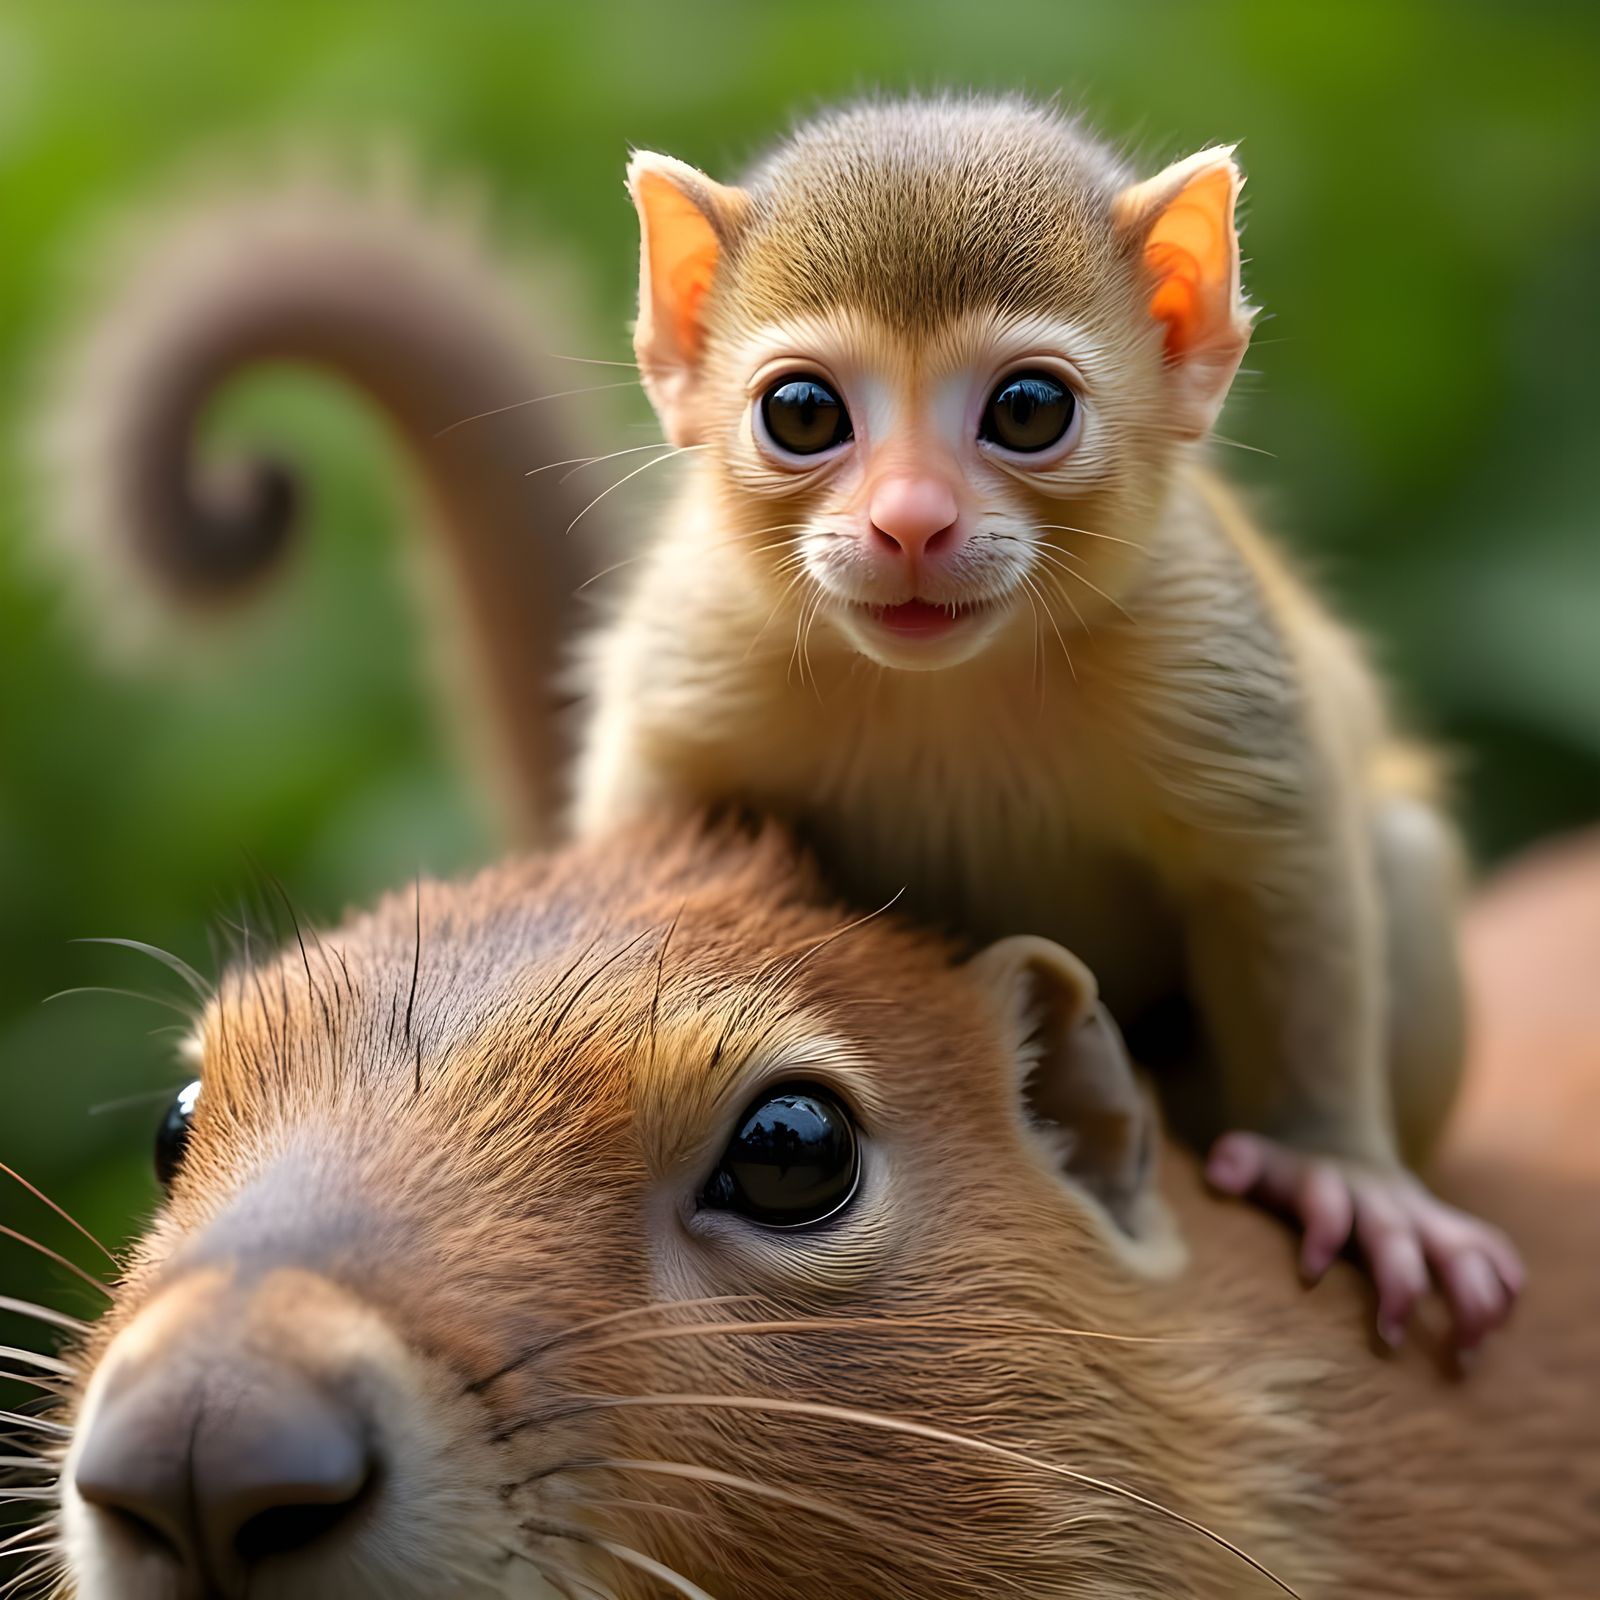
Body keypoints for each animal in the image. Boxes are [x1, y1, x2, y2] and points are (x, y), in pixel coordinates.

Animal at [36, 97, 1519, 1346]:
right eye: (803, 412)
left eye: (1028, 407)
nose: (910, 523)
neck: (947, 689)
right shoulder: (703, 643)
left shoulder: (1202, 650)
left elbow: (1283, 870)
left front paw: (1337, 1167)